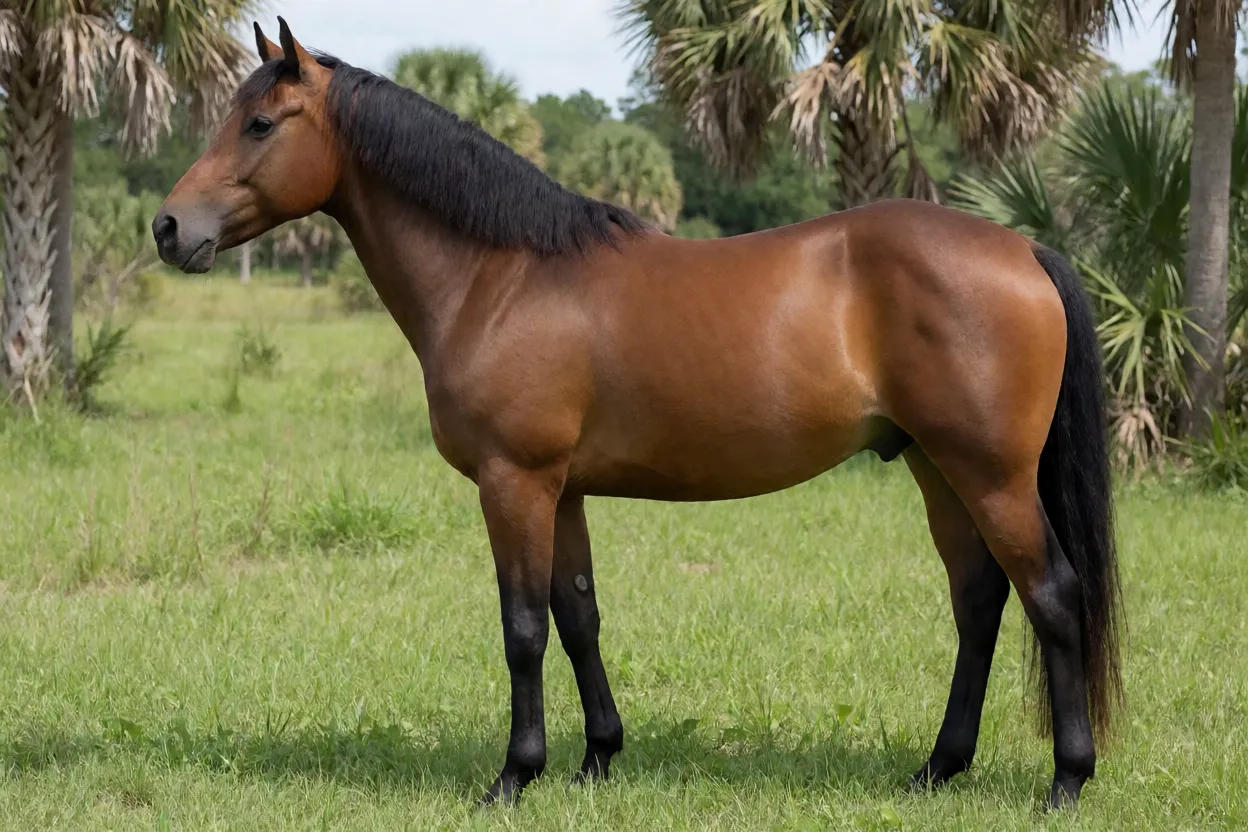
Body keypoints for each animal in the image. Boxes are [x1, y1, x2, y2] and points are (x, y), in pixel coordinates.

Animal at [153, 18, 1123, 810]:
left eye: (261, 124)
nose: (168, 228)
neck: (501, 277)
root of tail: (1025, 248)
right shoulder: (564, 491)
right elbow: (578, 617)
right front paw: (596, 760)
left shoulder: (514, 484)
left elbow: (523, 630)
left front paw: (514, 776)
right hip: (934, 465)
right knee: (979, 599)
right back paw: (936, 768)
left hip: (991, 475)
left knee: (1051, 594)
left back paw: (1066, 781)